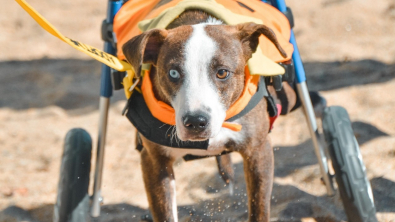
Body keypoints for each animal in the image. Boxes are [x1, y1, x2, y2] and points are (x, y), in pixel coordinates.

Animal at [122, 9, 296, 222]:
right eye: (173, 73)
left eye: (222, 73)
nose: (196, 122)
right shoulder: (155, 161)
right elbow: (165, 213)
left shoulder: (258, 151)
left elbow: (259, 209)